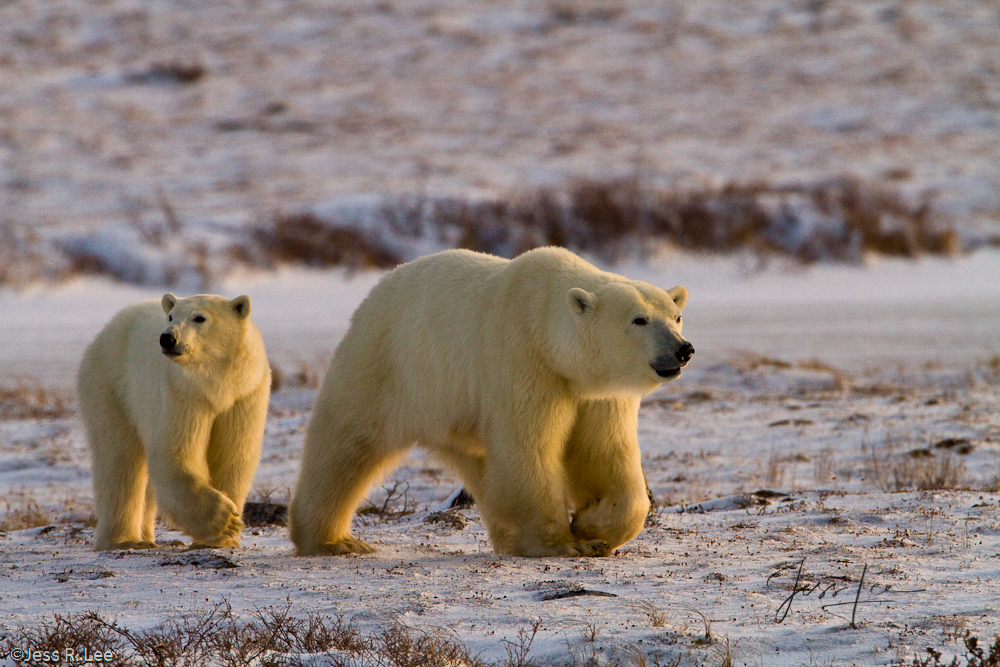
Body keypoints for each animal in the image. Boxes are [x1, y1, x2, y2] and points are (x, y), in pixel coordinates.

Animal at [79, 294, 270, 552]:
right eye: (171, 316)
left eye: (200, 318)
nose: (167, 338)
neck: (217, 384)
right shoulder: (184, 393)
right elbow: (176, 453)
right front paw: (224, 522)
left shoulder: (245, 395)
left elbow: (233, 455)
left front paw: (223, 539)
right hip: (111, 385)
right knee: (119, 460)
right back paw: (121, 540)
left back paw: (146, 538)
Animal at [292, 248, 692, 556]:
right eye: (639, 319)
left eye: (676, 316)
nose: (683, 349)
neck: (545, 326)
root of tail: (377, 289)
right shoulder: (522, 360)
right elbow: (528, 449)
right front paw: (563, 542)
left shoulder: (596, 392)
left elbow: (604, 453)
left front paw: (591, 529)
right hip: (387, 365)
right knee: (346, 445)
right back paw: (333, 541)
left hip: (452, 413)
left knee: (482, 468)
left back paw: (508, 539)